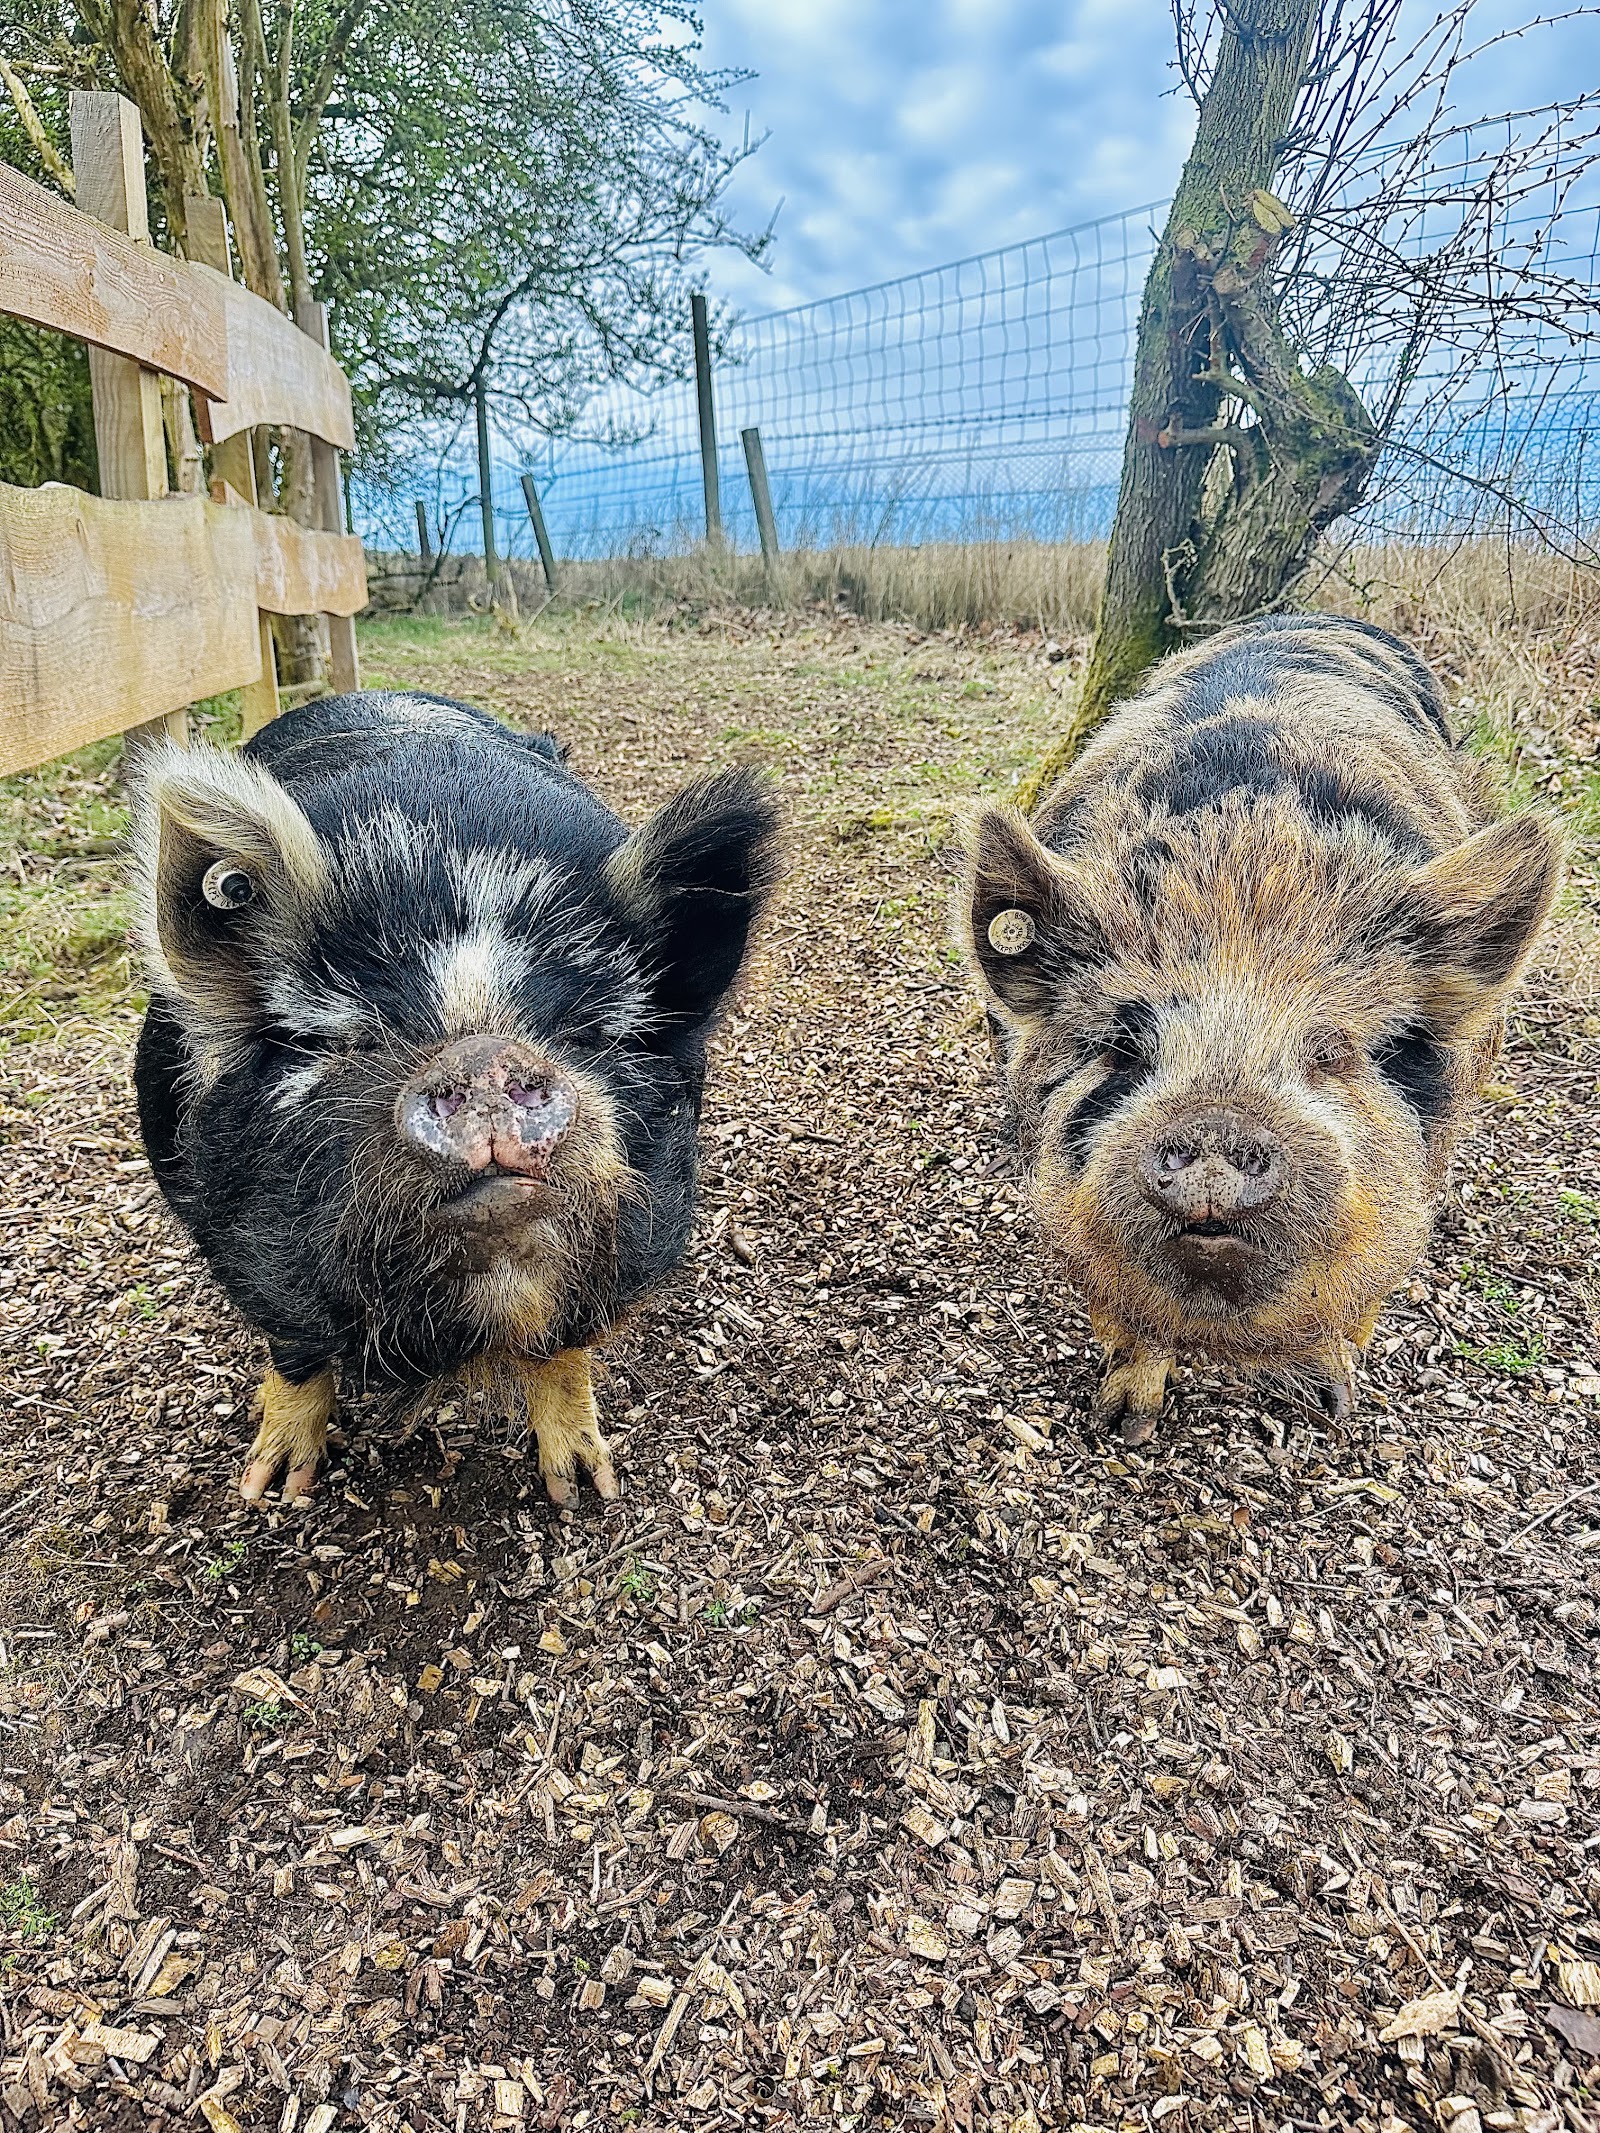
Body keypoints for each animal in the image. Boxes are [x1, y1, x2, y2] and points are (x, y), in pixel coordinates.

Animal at [132, 689, 778, 1506]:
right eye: (342, 1038)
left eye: (588, 1029)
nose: (483, 1054)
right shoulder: (225, 1232)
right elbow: (294, 1346)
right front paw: (270, 1488)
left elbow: (565, 1347)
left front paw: (585, 1488)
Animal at [960, 615, 1561, 1443]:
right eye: (1121, 1046)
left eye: (1333, 1050)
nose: (1217, 1123)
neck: (1245, 858)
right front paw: (1122, 1425)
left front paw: (1333, 1407)